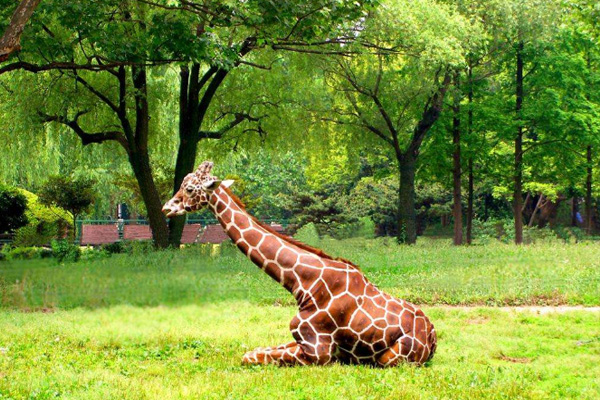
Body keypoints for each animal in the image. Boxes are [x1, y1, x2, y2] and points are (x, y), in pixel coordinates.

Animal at [163, 161, 436, 368]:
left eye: (189, 188)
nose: (167, 208)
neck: (303, 283)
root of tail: (433, 338)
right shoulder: (299, 341)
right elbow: (252, 351)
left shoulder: (318, 352)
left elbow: (248, 356)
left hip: (391, 357)